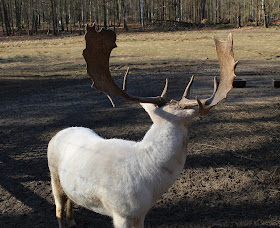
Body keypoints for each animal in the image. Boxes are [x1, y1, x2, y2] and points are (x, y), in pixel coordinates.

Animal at [47, 25, 237, 228]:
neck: (150, 182)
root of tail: (57, 134)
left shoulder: (141, 214)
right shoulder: (121, 212)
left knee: (70, 200)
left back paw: (74, 222)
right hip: (53, 175)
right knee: (58, 208)